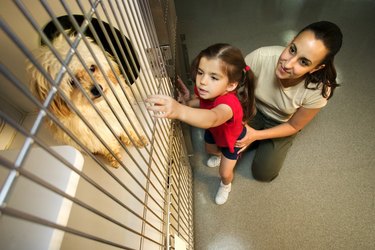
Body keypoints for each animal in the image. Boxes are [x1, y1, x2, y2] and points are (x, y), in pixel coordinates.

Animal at [27, 31, 148, 168]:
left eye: (92, 68)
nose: (97, 89)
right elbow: (108, 147)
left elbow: (129, 129)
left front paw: (138, 139)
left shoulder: (122, 115)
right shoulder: (95, 137)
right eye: (72, 82)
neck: (97, 108)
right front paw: (115, 158)